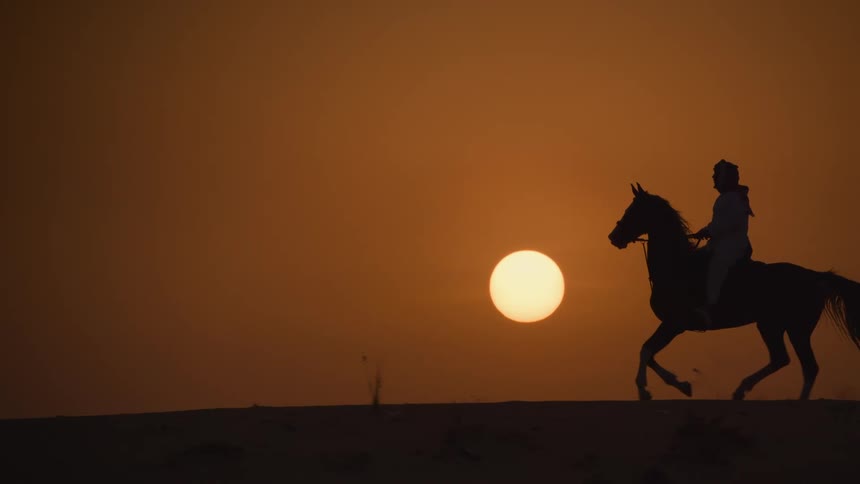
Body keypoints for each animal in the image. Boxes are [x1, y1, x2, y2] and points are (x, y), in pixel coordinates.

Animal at [608, 183, 860, 400]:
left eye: (633, 210)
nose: (613, 237)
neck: (676, 265)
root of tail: (817, 276)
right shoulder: (672, 325)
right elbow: (649, 353)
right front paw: (681, 385)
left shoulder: (675, 323)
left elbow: (646, 350)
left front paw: (646, 389)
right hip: (776, 326)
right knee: (785, 360)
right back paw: (741, 390)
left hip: (793, 328)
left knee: (805, 365)